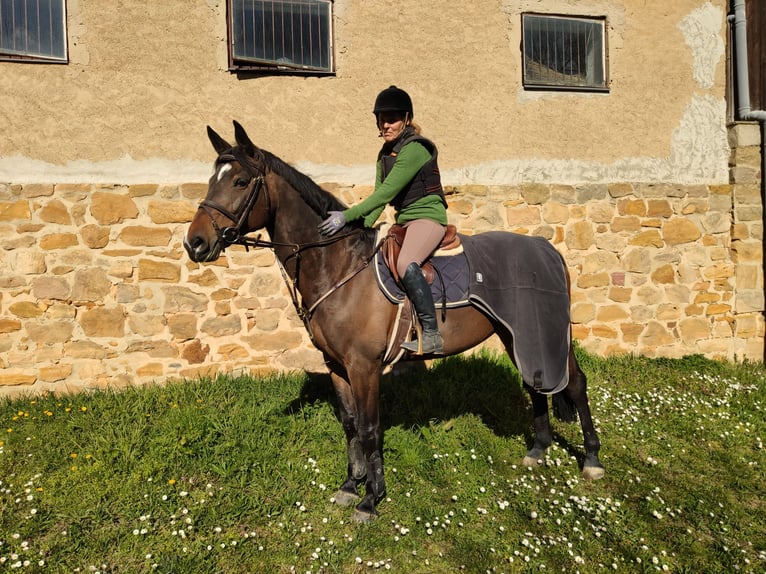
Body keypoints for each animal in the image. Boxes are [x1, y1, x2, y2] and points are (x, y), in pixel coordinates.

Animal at [186, 122, 608, 528]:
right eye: (211, 179)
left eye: (240, 181)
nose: (195, 243)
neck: (340, 266)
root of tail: (546, 249)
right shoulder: (337, 367)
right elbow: (350, 425)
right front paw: (350, 485)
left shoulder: (365, 367)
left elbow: (370, 428)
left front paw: (371, 500)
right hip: (516, 335)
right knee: (535, 384)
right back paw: (538, 449)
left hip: (547, 334)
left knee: (575, 383)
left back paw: (591, 460)